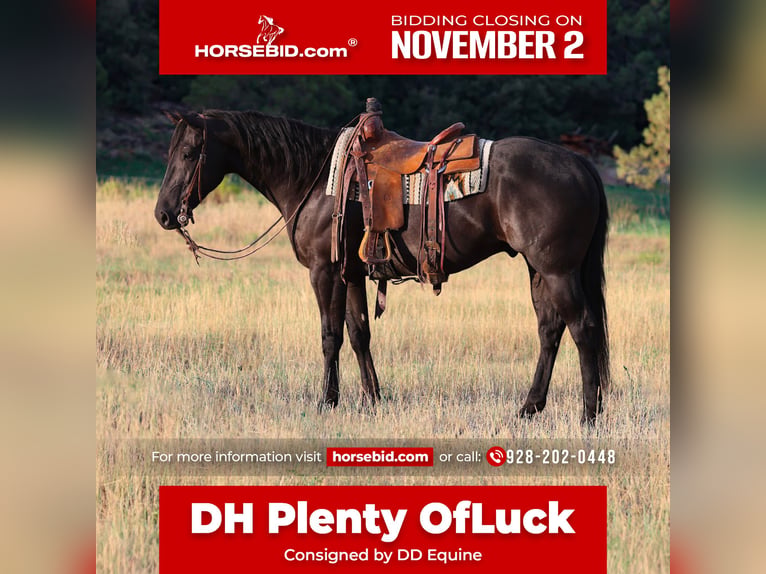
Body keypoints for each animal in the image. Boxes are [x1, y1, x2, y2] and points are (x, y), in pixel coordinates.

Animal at [154, 109, 610, 424]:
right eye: (171, 152)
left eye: (190, 153)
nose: (163, 214)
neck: (313, 178)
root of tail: (579, 164)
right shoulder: (353, 275)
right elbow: (359, 335)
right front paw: (372, 399)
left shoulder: (324, 273)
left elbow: (330, 336)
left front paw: (327, 401)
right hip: (538, 270)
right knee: (550, 331)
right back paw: (529, 408)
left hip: (557, 271)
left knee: (583, 328)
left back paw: (589, 415)